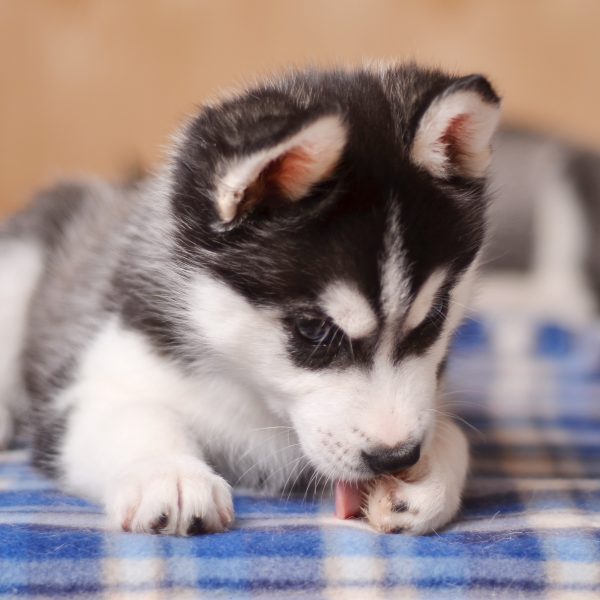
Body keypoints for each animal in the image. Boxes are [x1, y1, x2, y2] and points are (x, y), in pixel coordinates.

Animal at [0, 65, 502, 536]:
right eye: (314, 330)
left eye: (435, 315)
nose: (396, 457)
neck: (248, 390)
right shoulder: (92, 380)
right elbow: (136, 416)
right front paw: (171, 473)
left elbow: (454, 434)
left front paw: (429, 481)